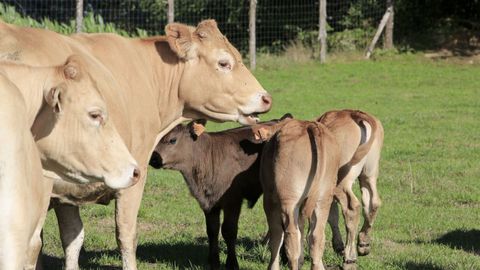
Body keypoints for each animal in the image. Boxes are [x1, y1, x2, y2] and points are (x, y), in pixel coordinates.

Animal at [251, 119, 342, 268]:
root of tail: (309, 125)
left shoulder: (269, 200)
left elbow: (276, 236)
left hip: (289, 201)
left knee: (291, 237)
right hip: (324, 197)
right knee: (317, 237)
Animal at [316, 109, 384, 270]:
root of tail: (354, 114)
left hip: (341, 180)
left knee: (352, 207)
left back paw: (350, 259)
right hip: (369, 172)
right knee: (372, 202)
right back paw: (363, 244)